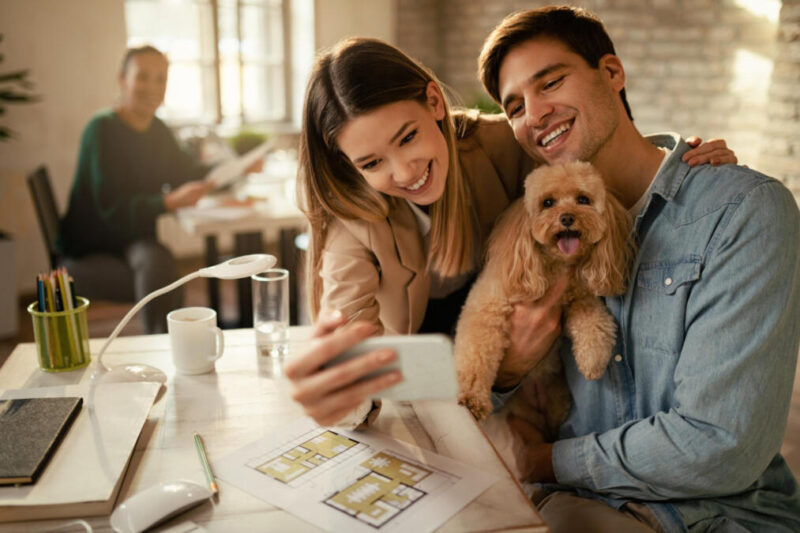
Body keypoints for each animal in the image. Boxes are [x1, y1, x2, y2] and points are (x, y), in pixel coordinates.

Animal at [456, 162, 632, 470]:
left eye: (583, 199)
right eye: (547, 203)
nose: (567, 218)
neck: (553, 267)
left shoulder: (579, 300)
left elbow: (595, 323)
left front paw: (593, 361)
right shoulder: (487, 308)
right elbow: (476, 357)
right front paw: (471, 399)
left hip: (556, 405)